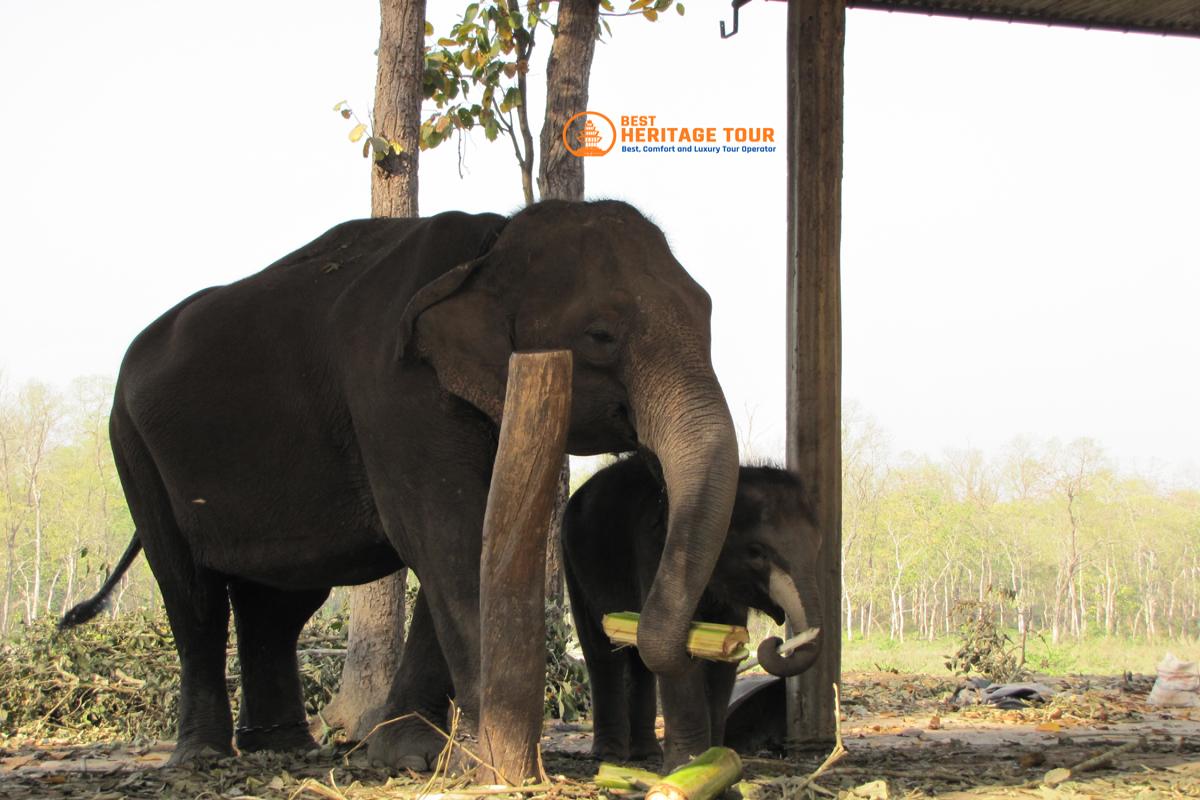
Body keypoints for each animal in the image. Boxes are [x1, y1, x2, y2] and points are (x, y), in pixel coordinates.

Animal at [68, 201, 739, 767]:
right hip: (132, 446)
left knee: (278, 603)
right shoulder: (393, 393)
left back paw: (282, 749)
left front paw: (408, 754)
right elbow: (445, 534)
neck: (488, 248)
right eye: (600, 335)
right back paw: (204, 757)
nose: (718, 642)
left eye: (710, 314)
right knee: (191, 592)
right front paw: (472, 757)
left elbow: (469, 536)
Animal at [559, 455, 820, 767]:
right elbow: (680, 650)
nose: (778, 642)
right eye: (756, 553)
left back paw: (647, 754)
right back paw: (609, 755)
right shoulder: (656, 554)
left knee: (639, 657)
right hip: (573, 563)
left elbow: (724, 660)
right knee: (600, 652)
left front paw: (717, 755)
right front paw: (688, 763)